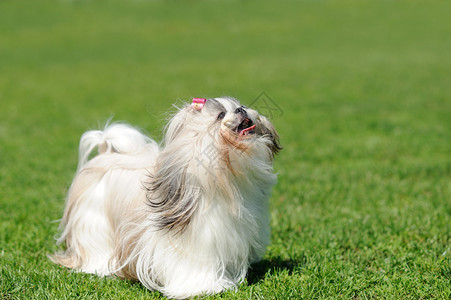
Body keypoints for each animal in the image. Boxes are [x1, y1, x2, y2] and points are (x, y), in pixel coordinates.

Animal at [51, 96, 280, 298]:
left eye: (241, 105)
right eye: (221, 115)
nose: (242, 109)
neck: (223, 181)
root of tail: (105, 153)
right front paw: (204, 288)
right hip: (93, 222)